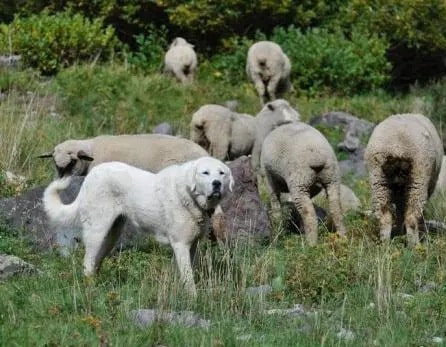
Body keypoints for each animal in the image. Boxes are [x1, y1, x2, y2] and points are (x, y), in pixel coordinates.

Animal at [42, 158, 233, 296]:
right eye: (205, 173)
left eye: (221, 173)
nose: (217, 183)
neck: (189, 195)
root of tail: (90, 176)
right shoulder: (180, 244)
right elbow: (188, 277)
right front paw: (193, 298)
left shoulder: (191, 245)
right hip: (97, 232)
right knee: (88, 262)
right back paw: (90, 288)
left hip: (111, 236)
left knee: (96, 261)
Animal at [364, 114, 444, 247]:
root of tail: (397, 147)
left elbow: (400, 209)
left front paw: (399, 232)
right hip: (418, 179)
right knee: (412, 216)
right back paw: (414, 246)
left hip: (378, 181)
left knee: (384, 216)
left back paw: (385, 245)